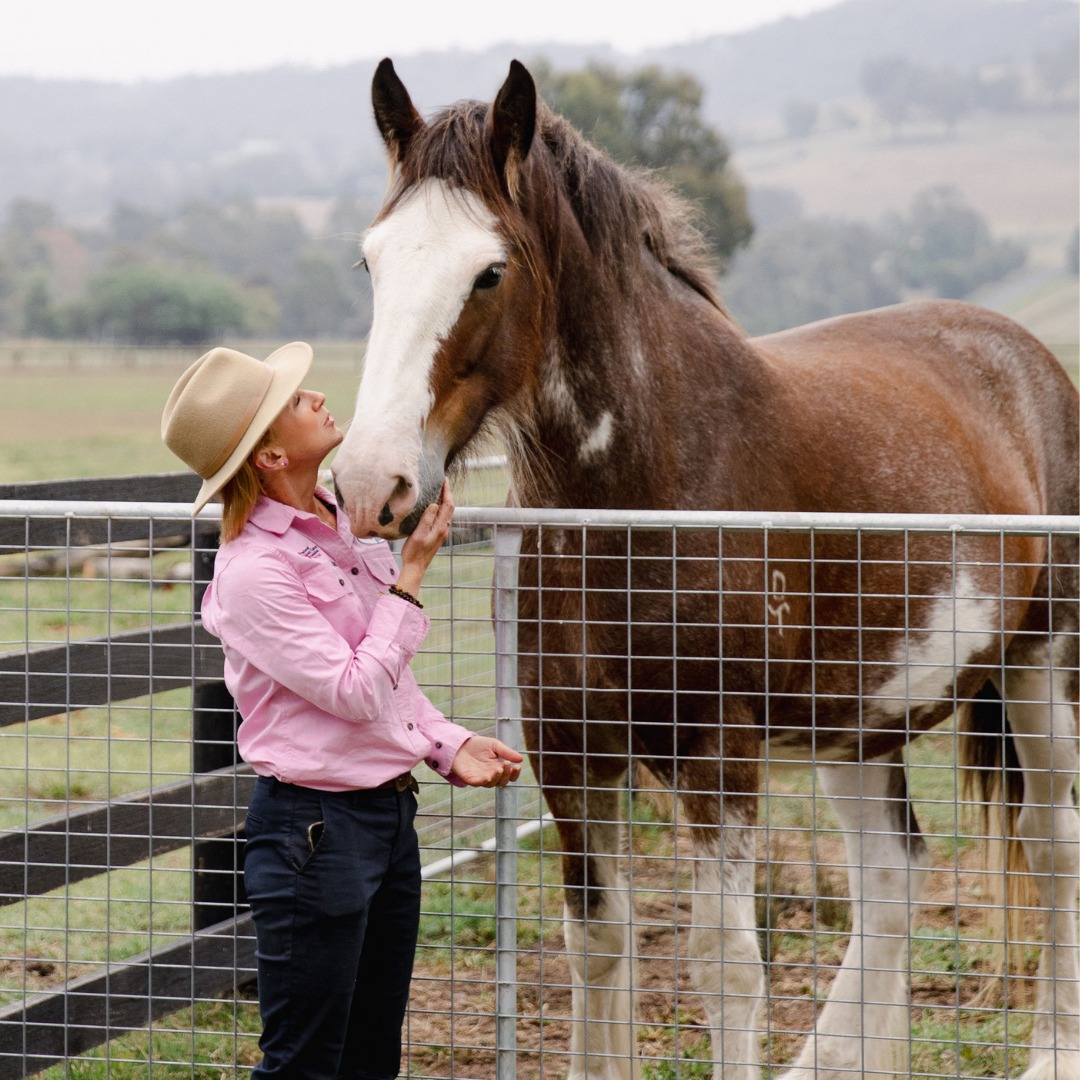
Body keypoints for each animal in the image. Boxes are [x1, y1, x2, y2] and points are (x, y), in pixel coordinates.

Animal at [331, 59, 1080, 1080]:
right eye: (372, 262)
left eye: (489, 270)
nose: (373, 481)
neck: (651, 487)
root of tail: (1029, 359)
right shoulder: (571, 755)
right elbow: (597, 944)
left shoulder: (714, 758)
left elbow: (726, 969)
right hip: (860, 721)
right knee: (891, 878)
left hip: (1042, 666)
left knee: (1051, 841)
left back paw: (1052, 1050)